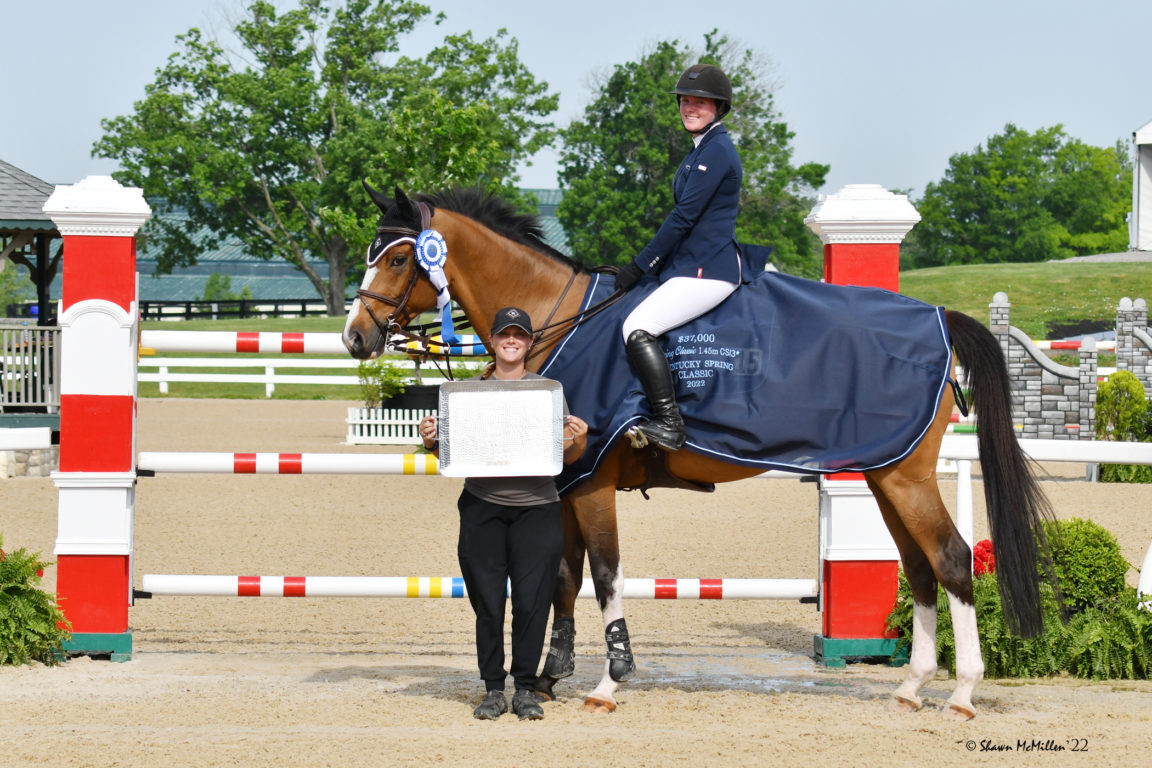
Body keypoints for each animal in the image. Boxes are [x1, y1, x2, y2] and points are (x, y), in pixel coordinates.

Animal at [342, 183, 1057, 720]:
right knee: (920, 566)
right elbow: (565, 578)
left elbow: (605, 573)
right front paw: (550, 675)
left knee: (953, 560)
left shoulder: (592, 481)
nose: (355, 336)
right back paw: (912, 685)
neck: (557, 318)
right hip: (885, 474)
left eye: (399, 260)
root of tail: (938, 316)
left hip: (906, 478)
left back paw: (962, 692)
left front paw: (611, 679)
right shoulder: (568, 481)